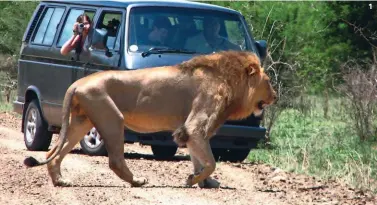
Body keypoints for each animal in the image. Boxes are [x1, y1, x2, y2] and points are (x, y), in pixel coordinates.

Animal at [24, 50, 276, 188]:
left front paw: (204, 182)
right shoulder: (196, 125)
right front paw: (193, 180)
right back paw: (137, 181)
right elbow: (211, 162)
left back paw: (60, 181)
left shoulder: (188, 131)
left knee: (53, 153)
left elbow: (198, 159)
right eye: (268, 81)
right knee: (115, 160)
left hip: (81, 121)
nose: (275, 96)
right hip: (112, 117)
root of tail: (77, 83)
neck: (230, 81)